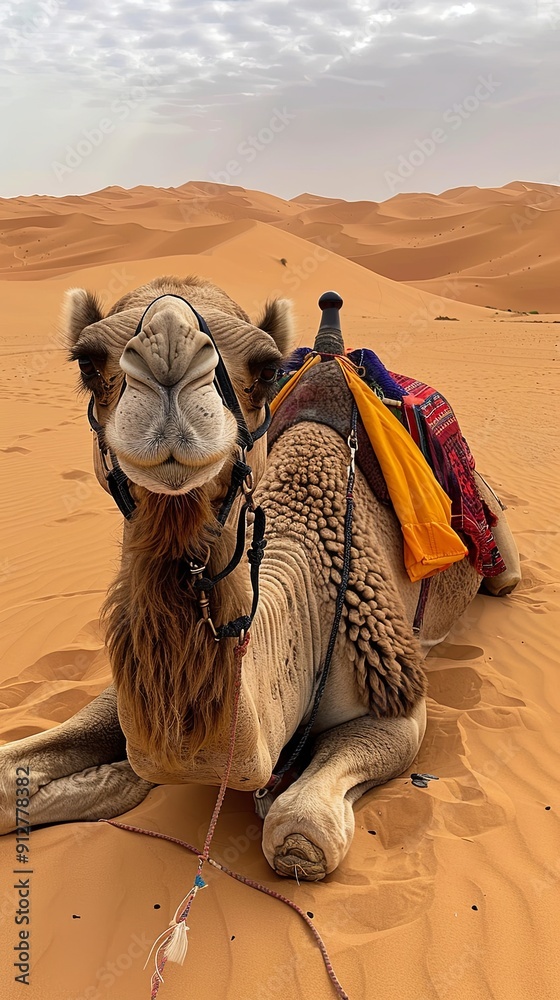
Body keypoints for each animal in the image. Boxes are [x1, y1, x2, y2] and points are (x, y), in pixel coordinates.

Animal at [0, 277, 521, 881]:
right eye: (87, 361)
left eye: (267, 367)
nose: (169, 350)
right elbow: (11, 773)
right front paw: (112, 782)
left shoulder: (397, 695)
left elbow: (299, 833)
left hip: (497, 541)